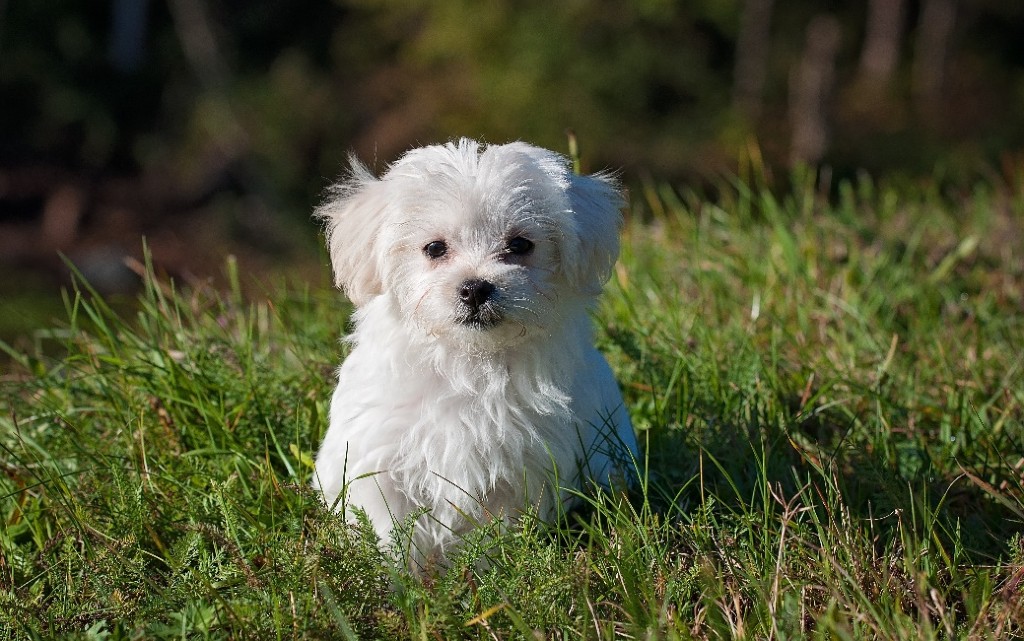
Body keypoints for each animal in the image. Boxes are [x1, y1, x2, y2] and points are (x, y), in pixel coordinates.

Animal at [313, 137, 630, 565]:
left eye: (520, 245)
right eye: (434, 248)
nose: (475, 287)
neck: (469, 361)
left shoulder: (520, 469)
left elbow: (496, 531)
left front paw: (488, 571)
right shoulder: (379, 459)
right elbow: (391, 529)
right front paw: (399, 577)